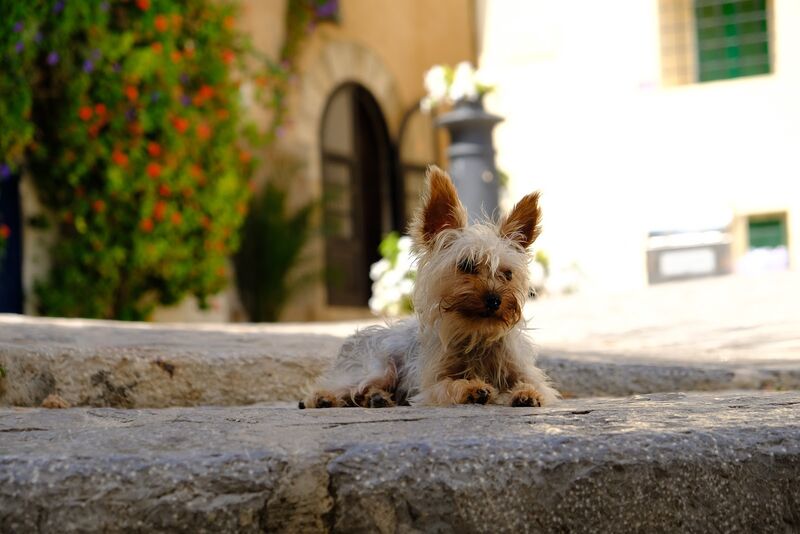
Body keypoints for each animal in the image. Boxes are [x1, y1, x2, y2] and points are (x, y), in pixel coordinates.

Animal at [298, 168, 556, 410]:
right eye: (466, 265)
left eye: (508, 274)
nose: (494, 300)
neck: (476, 334)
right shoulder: (429, 387)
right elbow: (449, 385)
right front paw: (472, 388)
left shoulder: (528, 374)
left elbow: (534, 386)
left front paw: (526, 394)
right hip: (379, 367)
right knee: (342, 386)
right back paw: (324, 398)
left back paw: (376, 398)